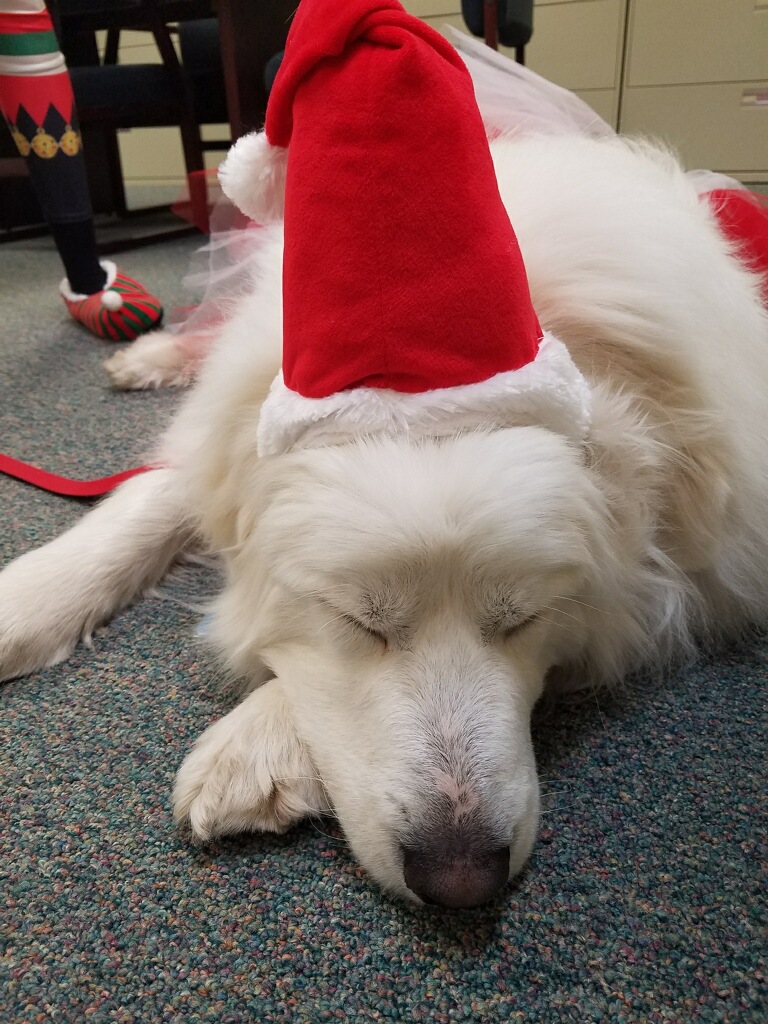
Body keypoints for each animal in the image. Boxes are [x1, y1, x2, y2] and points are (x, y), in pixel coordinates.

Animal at [2, 134, 768, 908]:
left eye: (525, 620)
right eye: (358, 620)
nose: (461, 880)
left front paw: (258, 743)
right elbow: (152, 498)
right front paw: (28, 598)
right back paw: (146, 353)